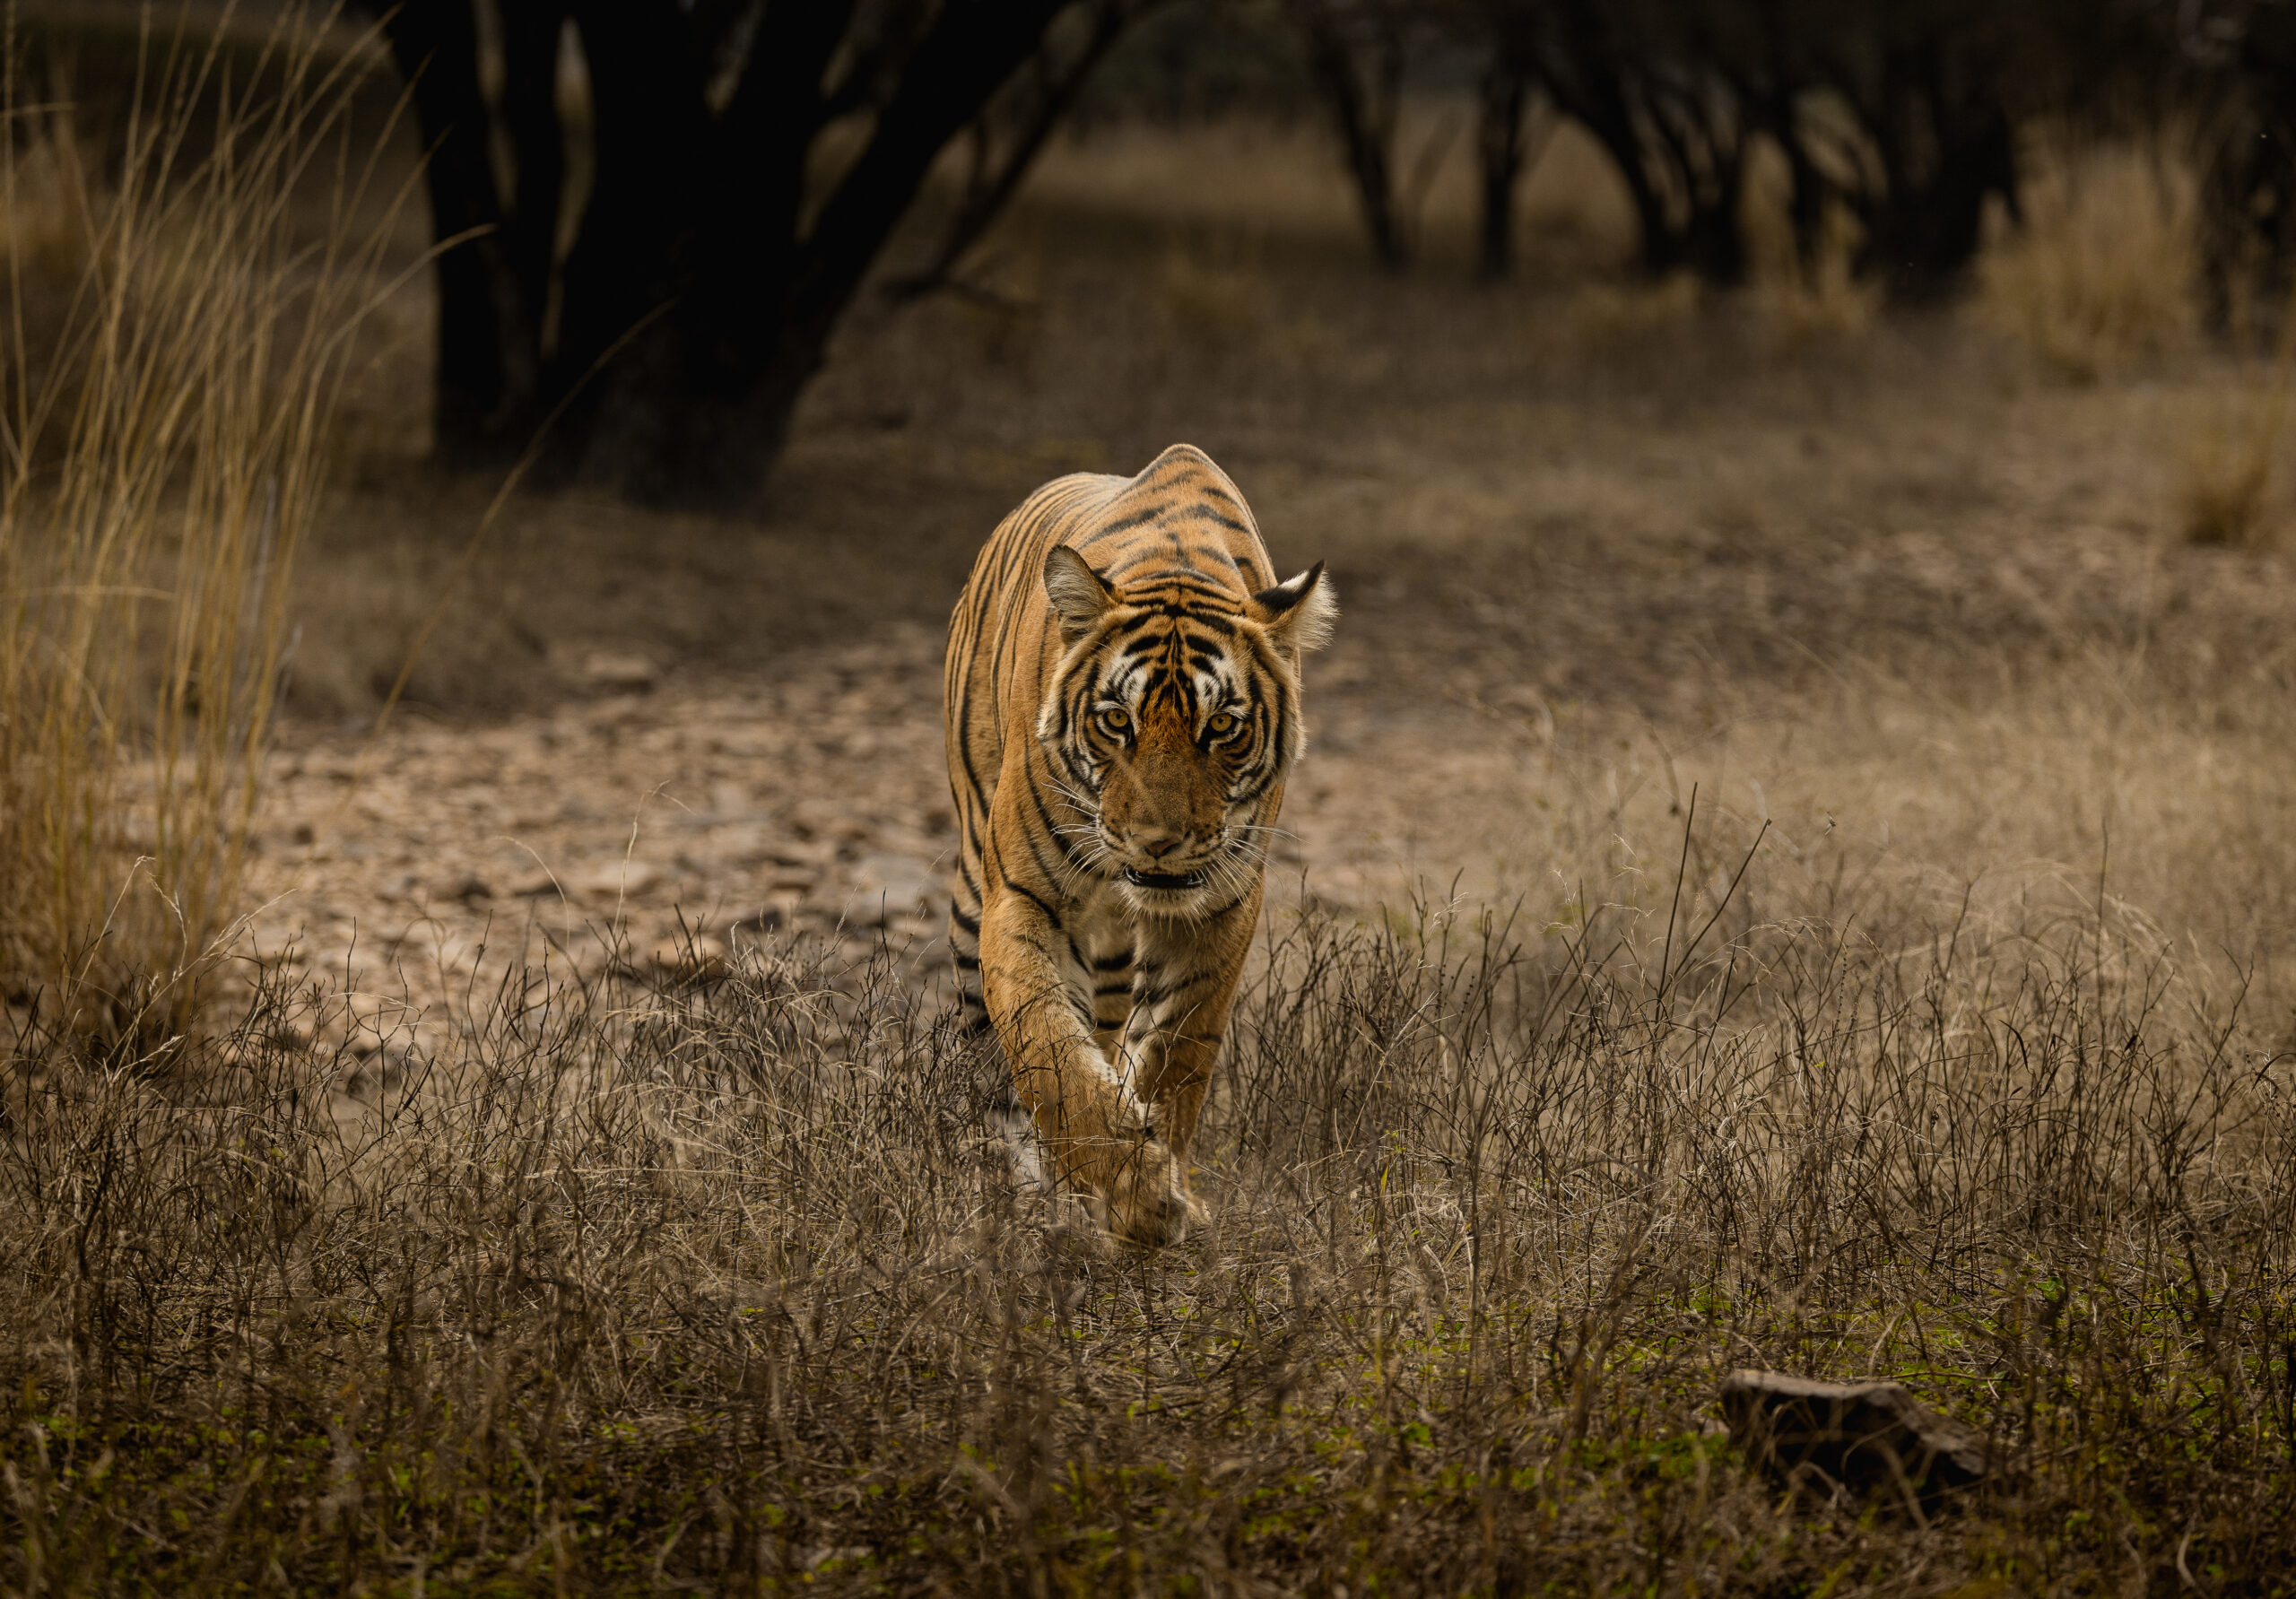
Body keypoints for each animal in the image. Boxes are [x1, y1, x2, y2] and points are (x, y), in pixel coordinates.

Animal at [943, 443, 1336, 1247]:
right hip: (971, 890)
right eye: (1116, 721)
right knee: (989, 1062)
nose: (1158, 843)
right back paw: (1019, 1194)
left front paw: (1155, 1192)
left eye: (1222, 727)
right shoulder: (1022, 897)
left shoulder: (1220, 907)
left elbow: (1176, 1052)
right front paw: (1133, 1192)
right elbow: (1048, 1051)